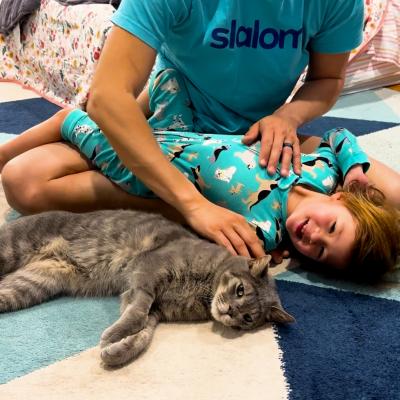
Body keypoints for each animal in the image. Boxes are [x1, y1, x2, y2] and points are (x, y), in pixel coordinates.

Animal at [0, 209, 294, 366]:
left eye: (248, 318)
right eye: (240, 290)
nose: (231, 312)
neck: (202, 291)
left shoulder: (157, 311)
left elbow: (143, 335)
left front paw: (116, 350)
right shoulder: (148, 272)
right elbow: (137, 312)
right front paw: (114, 335)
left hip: (29, 286)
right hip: (11, 250)